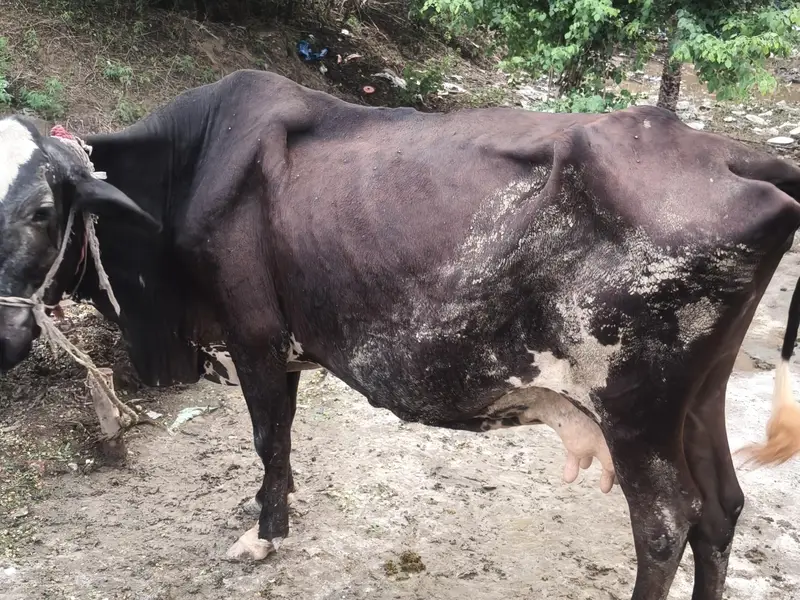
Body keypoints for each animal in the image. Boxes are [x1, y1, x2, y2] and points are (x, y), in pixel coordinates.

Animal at [1, 69, 800, 600]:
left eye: (42, 211)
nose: (6, 335)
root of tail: (734, 156)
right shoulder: (283, 347)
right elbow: (282, 440)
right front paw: (277, 511)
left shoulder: (252, 335)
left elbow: (266, 438)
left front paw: (264, 534)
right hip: (697, 398)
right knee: (721, 509)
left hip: (633, 406)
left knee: (666, 525)